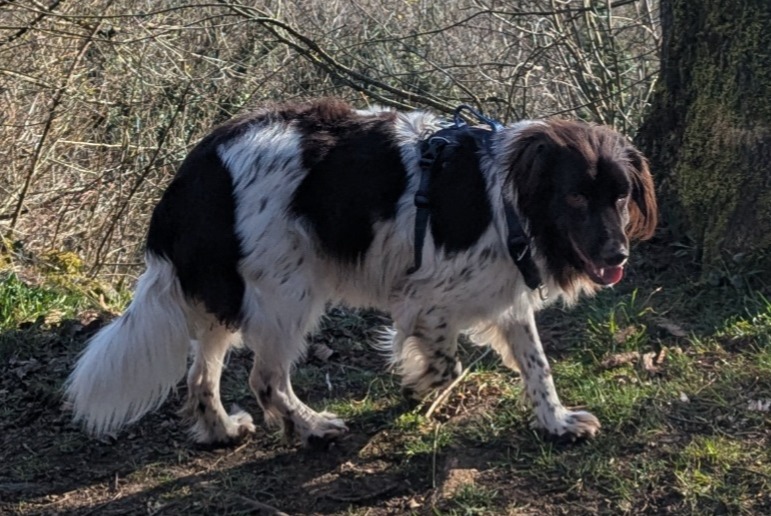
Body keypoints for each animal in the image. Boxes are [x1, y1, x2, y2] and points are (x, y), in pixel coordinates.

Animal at [66, 99, 656, 446]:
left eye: (620, 196)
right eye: (576, 197)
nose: (618, 256)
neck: (507, 197)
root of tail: (196, 168)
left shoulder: (504, 299)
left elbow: (537, 366)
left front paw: (556, 422)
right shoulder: (427, 300)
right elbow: (448, 366)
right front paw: (418, 387)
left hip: (231, 296)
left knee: (200, 376)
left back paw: (221, 430)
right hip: (287, 293)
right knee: (265, 378)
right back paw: (310, 426)